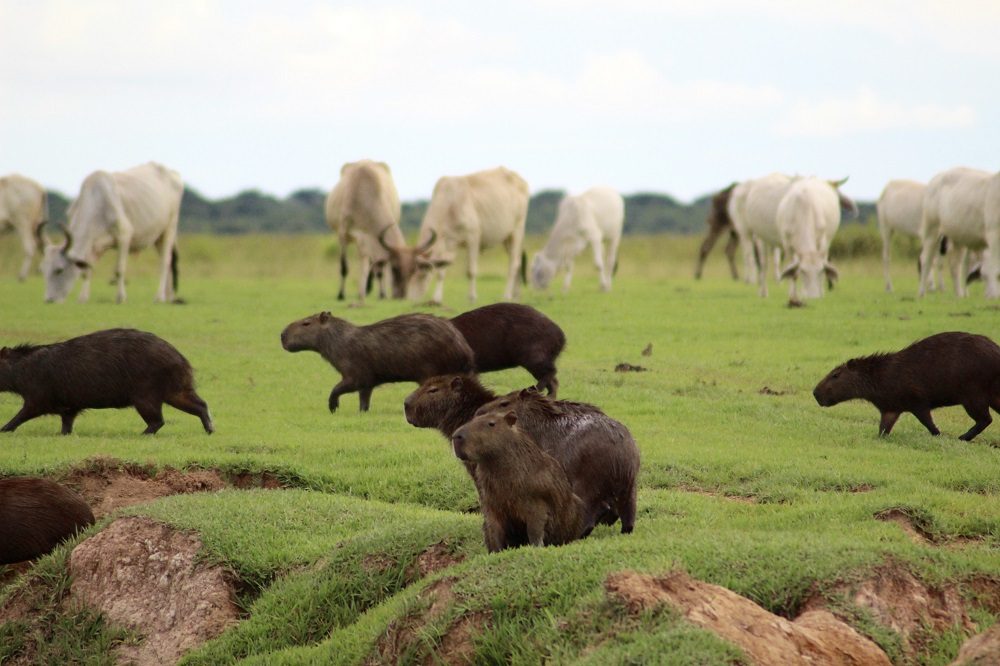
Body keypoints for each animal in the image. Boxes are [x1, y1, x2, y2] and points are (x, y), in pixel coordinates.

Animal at [39, 162, 184, 302]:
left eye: (59, 270)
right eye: (43, 270)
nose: (49, 300)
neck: (97, 201)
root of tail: (173, 173)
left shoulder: (124, 236)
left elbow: (119, 270)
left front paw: (121, 297)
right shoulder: (93, 246)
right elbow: (87, 271)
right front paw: (83, 298)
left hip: (169, 229)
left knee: (165, 262)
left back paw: (159, 296)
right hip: (157, 237)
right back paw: (169, 296)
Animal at [328, 160, 406, 300]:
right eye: (396, 270)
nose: (401, 296)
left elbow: (377, 267)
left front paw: (381, 294)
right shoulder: (344, 236)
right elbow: (344, 267)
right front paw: (341, 294)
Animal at [380, 165, 532, 302]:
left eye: (416, 272)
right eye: (394, 269)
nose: (402, 297)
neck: (451, 203)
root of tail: (520, 180)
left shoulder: (473, 238)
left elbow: (471, 271)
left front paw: (472, 297)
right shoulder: (449, 244)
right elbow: (441, 272)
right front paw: (436, 299)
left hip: (517, 231)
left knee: (514, 263)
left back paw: (507, 295)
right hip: (506, 239)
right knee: (518, 261)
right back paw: (516, 295)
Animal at [920, 165, 1000, 296]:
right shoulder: (993, 235)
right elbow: (995, 270)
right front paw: (993, 295)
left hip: (958, 238)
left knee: (955, 266)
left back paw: (960, 295)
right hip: (931, 229)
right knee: (926, 260)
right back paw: (921, 293)